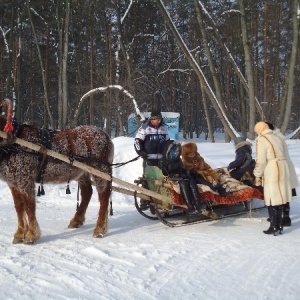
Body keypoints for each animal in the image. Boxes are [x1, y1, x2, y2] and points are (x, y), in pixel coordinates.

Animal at [0, 98, 114, 244]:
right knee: (87, 193)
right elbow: (19, 208)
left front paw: (31, 235)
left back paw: (100, 229)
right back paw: (76, 220)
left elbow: (29, 207)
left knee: (104, 197)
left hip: (100, 171)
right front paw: (20, 234)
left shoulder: (25, 181)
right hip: (82, 172)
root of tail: (105, 135)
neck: (13, 141)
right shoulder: (13, 183)